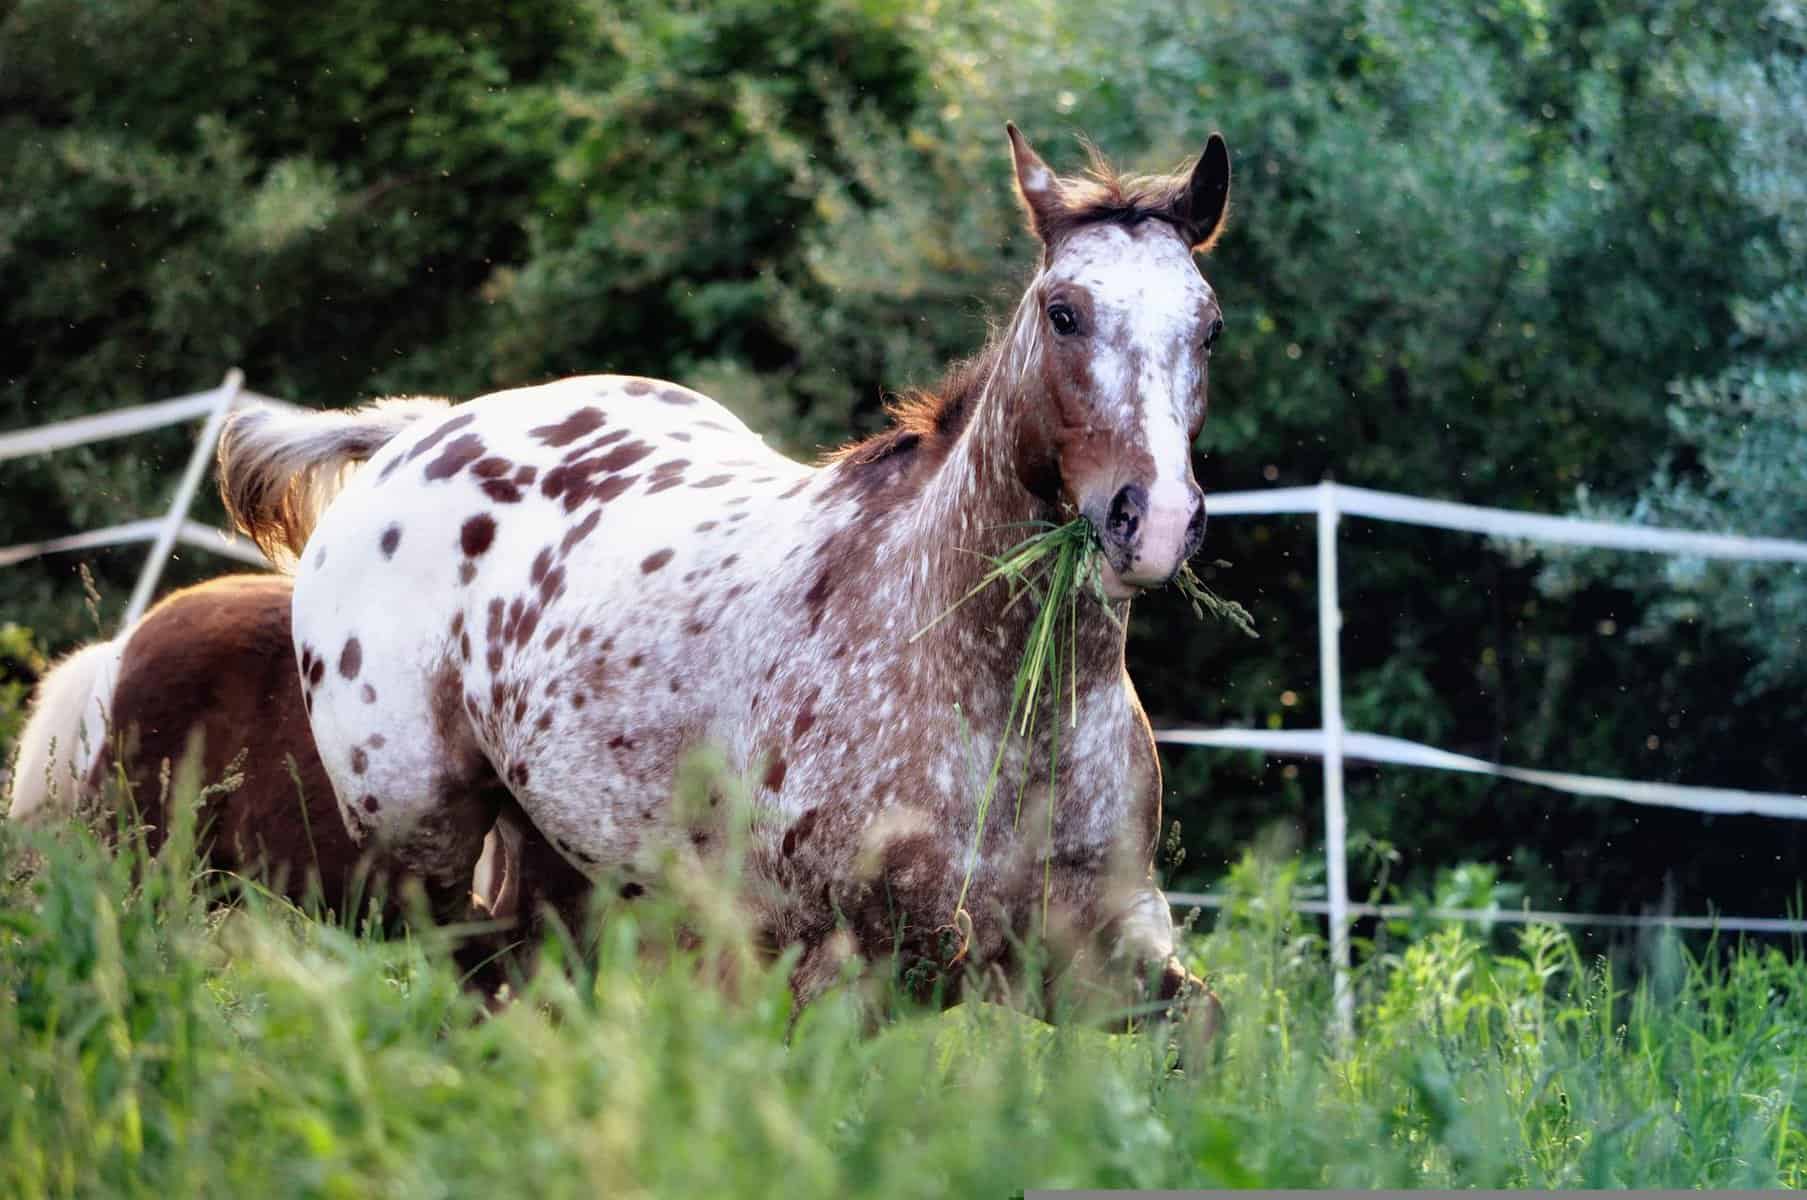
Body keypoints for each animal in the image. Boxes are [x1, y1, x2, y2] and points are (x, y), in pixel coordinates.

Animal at [216, 124, 1233, 1025]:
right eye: (1064, 314)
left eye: (1209, 328)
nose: (1154, 521)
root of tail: (422, 432)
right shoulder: (841, 971)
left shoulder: (1103, 955)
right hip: (416, 846)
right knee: (477, 975)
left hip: (555, 854)